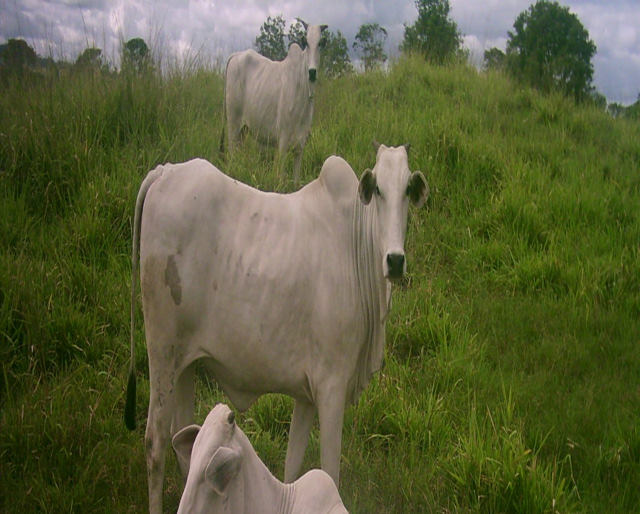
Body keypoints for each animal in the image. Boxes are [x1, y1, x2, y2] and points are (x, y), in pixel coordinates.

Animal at [222, 19, 328, 185]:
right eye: (307, 43)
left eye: (319, 44)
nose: (312, 72)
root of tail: (235, 55)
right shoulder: (282, 144)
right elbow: (279, 179)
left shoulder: (300, 147)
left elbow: (296, 182)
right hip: (233, 124)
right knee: (232, 154)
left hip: (243, 130)